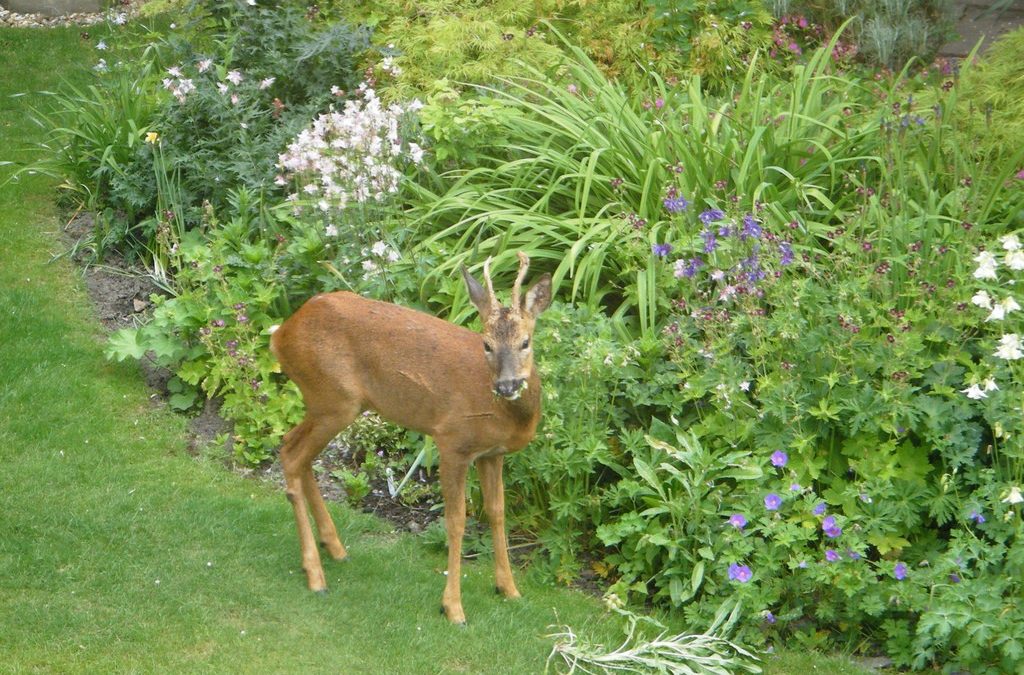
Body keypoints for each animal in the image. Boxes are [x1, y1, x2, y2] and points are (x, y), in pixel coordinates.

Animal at [266, 250, 552, 626]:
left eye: (525, 342)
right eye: (487, 345)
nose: (506, 385)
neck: (502, 414)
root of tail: (280, 334)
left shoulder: (492, 453)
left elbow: (497, 512)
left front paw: (509, 589)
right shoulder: (452, 441)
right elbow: (456, 522)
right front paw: (453, 608)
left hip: (330, 404)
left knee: (296, 450)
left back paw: (335, 548)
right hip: (333, 400)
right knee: (291, 455)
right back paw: (316, 574)